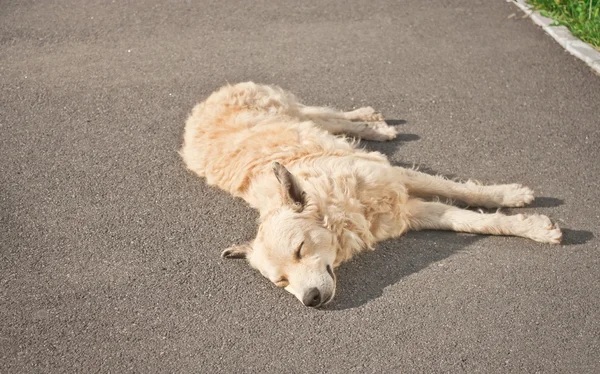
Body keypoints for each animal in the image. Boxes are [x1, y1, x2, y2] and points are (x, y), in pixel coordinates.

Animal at [179, 82, 564, 306]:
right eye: (282, 282)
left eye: (300, 250)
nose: (311, 300)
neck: (339, 204)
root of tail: (199, 107)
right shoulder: (409, 213)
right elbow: (469, 221)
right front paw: (526, 223)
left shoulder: (394, 177)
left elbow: (456, 190)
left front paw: (512, 199)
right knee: (324, 118)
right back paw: (371, 123)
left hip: (284, 107)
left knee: (320, 112)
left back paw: (369, 122)